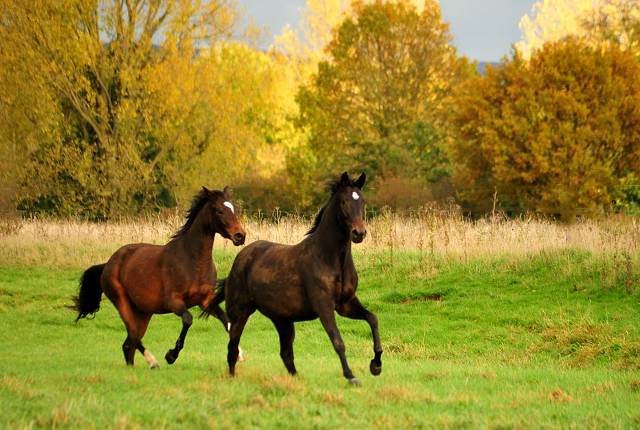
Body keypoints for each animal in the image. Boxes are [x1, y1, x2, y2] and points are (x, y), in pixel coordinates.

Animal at [70, 186, 245, 368]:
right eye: (219, 210)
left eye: (234, 209)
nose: (240, 235)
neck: (194, 260)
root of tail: (108, 264)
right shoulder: (173, 302)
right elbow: (188, 319)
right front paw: (171, 355)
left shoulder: (205, 300)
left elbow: (226, 319)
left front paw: (239, 352)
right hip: (121, 302)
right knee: (133, 337)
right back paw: (153, 361)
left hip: (142, 312)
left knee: (128, 344)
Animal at [208, 173, 382, 384]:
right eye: (343, 201)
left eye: (363, 201)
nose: (359, 233)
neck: (327, 256)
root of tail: (241, 258)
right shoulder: (323, 305)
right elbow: (338, 341)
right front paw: (351, 376)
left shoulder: (346, 304)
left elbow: (372, 319)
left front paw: (376, 365)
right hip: (240, 312)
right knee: (233, 347)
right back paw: (233, 379)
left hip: (282, 320)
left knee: (285, 353)